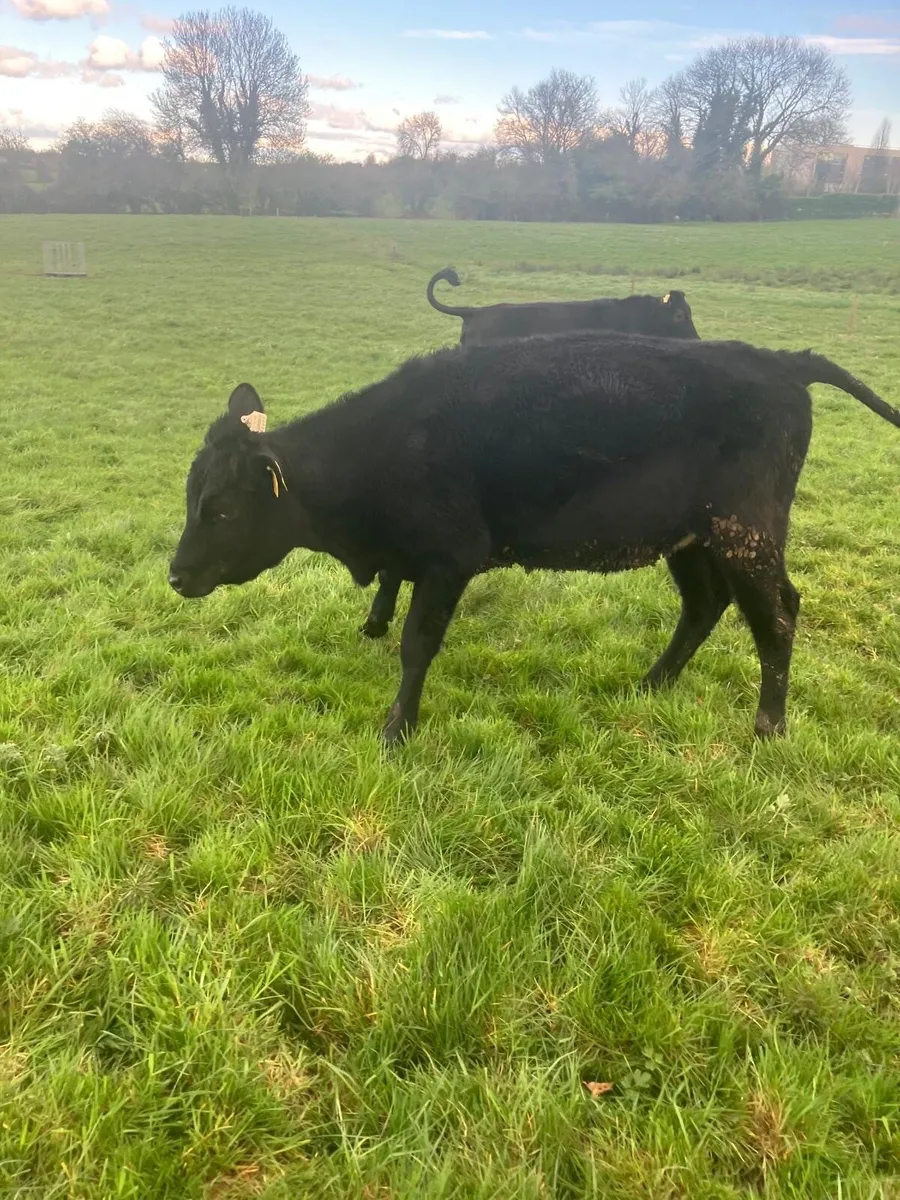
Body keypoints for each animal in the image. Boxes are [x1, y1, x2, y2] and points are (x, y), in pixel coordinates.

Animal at [168, 333, 900, 744]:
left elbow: (416, 645)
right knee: (704, 605)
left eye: (222, 511)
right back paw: (651, 684)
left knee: (778, 613)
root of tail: (781, 364)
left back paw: (769, 726)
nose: (175, 575)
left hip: (746, 532)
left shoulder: (451, 557)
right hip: (691, 538)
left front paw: (396, 729)